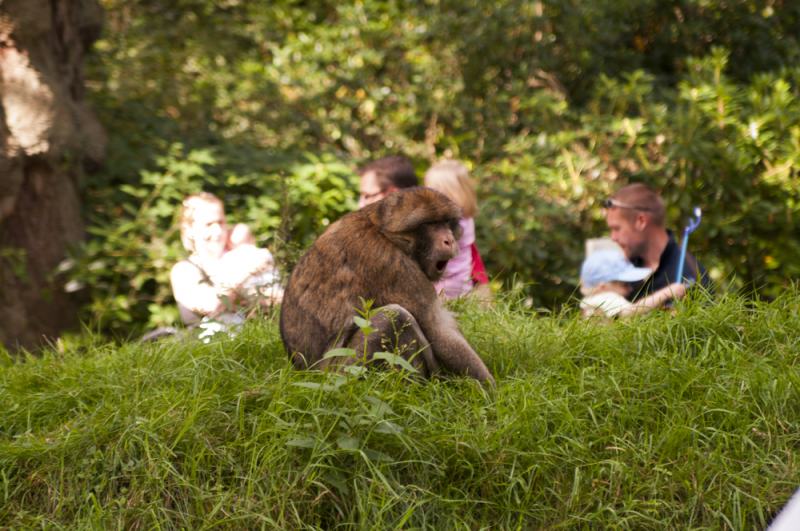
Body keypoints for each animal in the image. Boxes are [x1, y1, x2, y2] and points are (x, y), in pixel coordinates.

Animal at [280, 189, 494, 384]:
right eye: (429, 224)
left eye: (447, 222)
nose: (448, 240)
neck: (382, 230)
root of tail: (303, 370)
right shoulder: (392, 266)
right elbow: (438, 331)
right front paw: (490, 390)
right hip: (344, 372)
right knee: (395, 315)